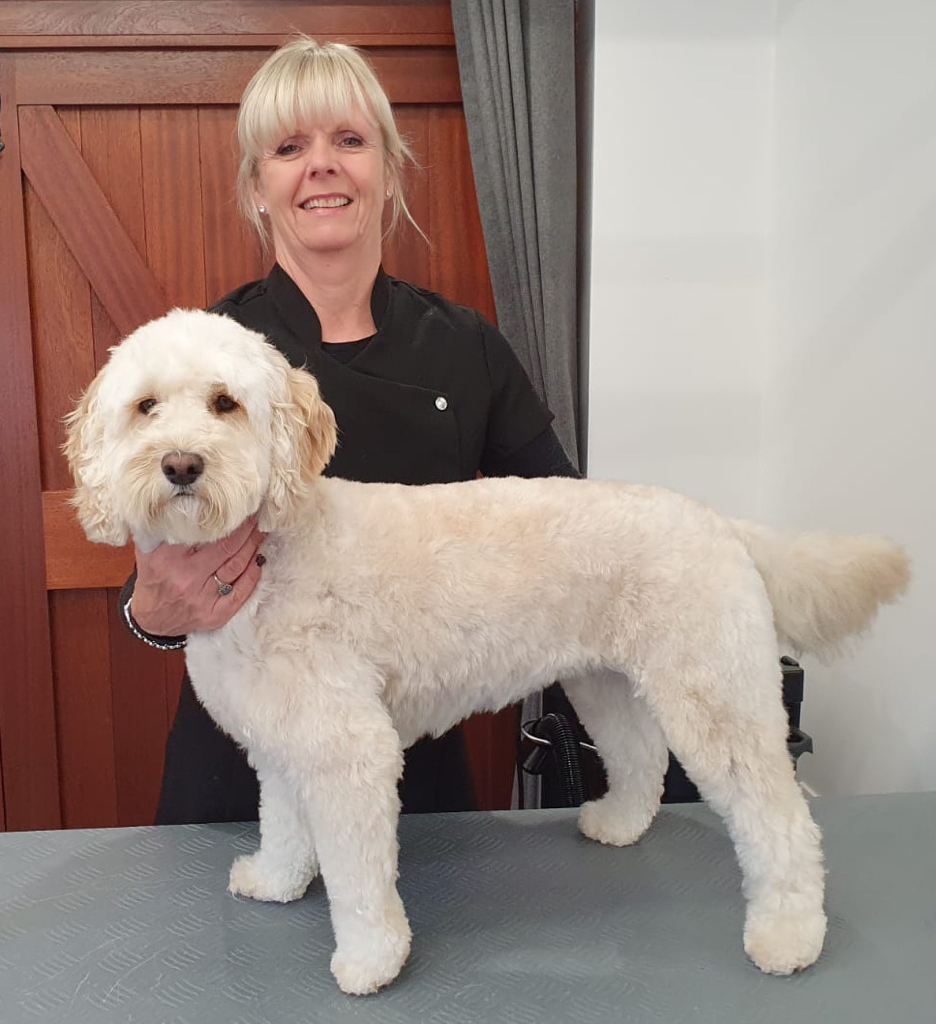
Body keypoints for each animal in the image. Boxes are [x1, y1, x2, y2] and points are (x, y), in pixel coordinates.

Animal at [63, 309, 905, 991]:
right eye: (146, 407)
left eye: (224, 403)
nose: (181, 464)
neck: (276, 546)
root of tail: (717, 521)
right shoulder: (283, 740)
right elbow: (282, 823)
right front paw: (275, 880)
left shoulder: (349, 749)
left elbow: (359, 876)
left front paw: (371, 961)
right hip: (604, 684)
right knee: (641, 758)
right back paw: (619, 824)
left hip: (717, 696)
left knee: (781, 818)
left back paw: (789, 934)